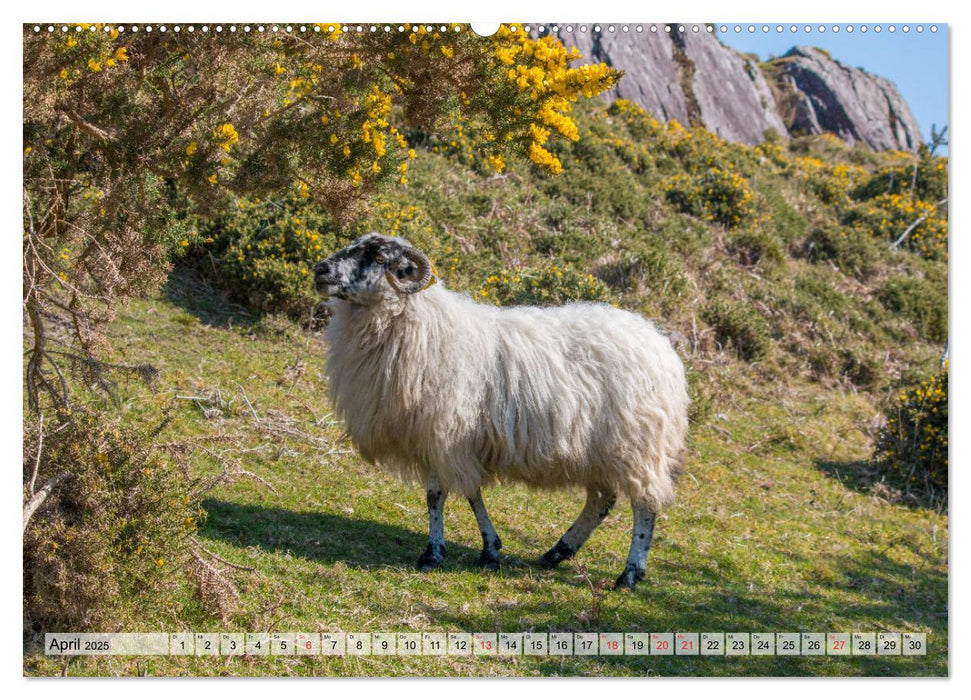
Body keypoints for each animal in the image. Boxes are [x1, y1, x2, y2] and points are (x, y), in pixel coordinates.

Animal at [316, 232, 688, 588]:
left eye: (380, 257)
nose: (320, 270)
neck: (420, 323)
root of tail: (662, 346)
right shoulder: (443, 439)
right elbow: (456, 495)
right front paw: (482, 549)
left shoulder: (447, 433)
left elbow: (445, 495)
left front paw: (440, 553)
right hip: (601, 450)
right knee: (602, 501)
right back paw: (557, 552)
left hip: (638, 445)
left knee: (644, 505)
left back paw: (629, 574)